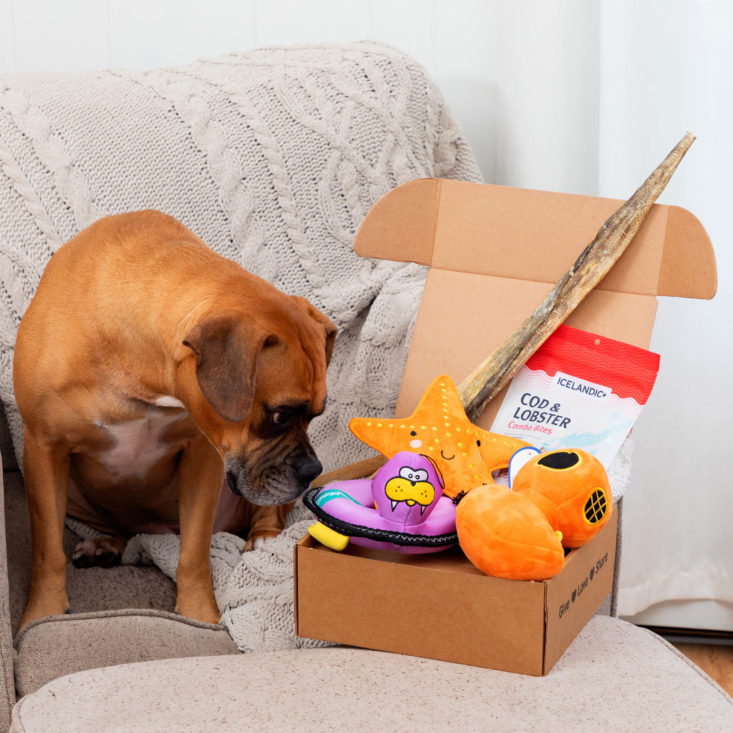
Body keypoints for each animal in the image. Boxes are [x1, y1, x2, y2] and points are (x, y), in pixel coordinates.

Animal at [14, 209, 336, 628]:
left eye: (315, 415)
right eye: (280, 415)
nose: (312, 469)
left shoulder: (204, 456)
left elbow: (194, 553)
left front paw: (200, 614)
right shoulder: (43, 447)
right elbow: (47, 550)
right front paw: (43, 614)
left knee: (267, 511)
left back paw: (263, 537)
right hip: (71, 491)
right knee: (123, 528)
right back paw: (106, 543)